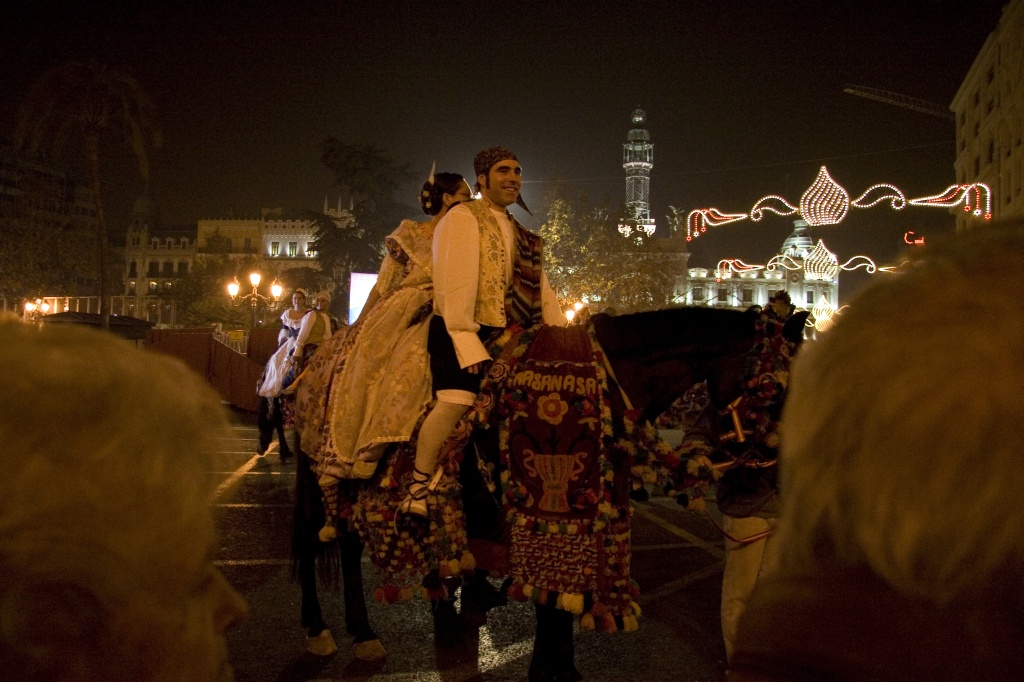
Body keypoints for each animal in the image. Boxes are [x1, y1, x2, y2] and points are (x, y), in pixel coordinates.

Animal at [292, 301, 811, 675]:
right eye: (776, 391)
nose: (778, 469)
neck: (606, 379)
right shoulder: (540, 515)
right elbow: (551, 608)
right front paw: (546, 665)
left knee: (348, 544)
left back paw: (366, 632)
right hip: (317, 472)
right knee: (312, 542)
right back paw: (320, 630)